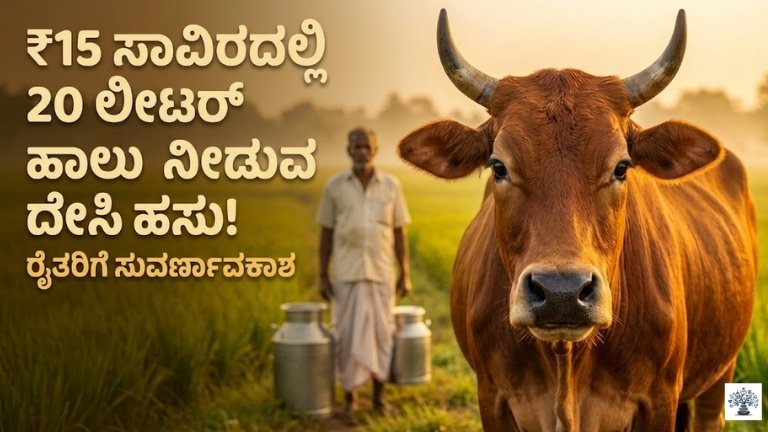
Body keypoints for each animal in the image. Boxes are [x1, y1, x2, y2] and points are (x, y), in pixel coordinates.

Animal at [398, 9, 758, 432]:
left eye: (621, 167)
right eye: (498, 166)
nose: (561, 292)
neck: (565, 360)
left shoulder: (660, 400)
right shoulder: (493, 397)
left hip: (719, 377)